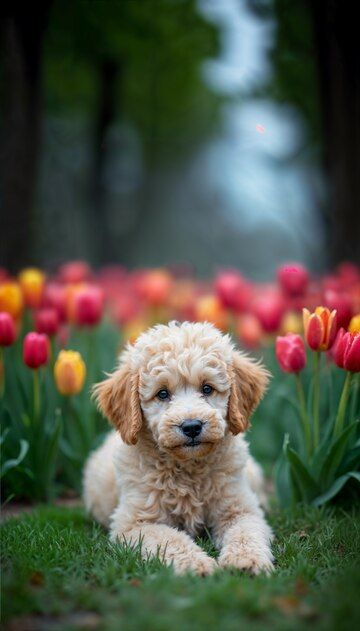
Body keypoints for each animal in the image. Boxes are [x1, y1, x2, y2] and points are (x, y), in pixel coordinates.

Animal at [83, 324, 274, 576]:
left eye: (207, 388)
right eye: (162, 393)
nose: (191, 426)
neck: (188, 469)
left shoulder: (239, 508)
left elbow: (246, 532)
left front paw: (246, 560)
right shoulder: (135, 522)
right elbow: (170, 539)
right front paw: (197, 564)